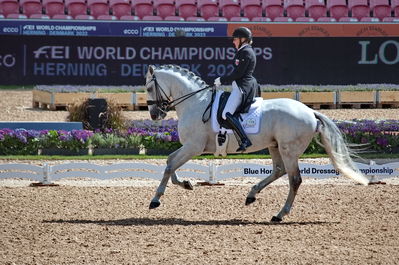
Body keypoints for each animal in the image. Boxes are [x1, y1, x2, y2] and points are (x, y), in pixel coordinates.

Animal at [145, 65, 370, 222]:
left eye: (148, 88)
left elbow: (170, 166)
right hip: (274, 146)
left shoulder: (194, 147)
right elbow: (169, 162)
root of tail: (310, 112)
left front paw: (156, 200)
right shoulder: (190, 147)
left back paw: (279, 215)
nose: (155, 115)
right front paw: (186, 183)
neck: (196, 103)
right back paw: (251, 195)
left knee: (294, 180)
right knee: (279, 171)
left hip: (289, 150)